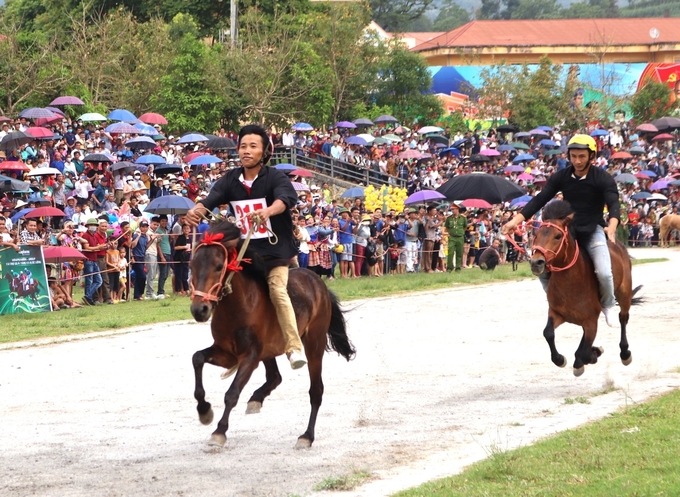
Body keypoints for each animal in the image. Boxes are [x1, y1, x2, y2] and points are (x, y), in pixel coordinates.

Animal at [187, 223, 356, 448]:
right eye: (192, 266)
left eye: (218, 266)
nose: (200, 309)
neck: (238, 306)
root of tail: (316, 281)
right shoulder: (226, 353)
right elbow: (197, 358)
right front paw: (204, 410)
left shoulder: (249, 357)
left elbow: (232, 393)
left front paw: (219, 431)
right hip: (268, 351)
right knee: (275, 377)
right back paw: (256, 399)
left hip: (314, 343)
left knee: (316, 391)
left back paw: (306, 436)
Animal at [532, 202, 644, 376]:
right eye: (536, 234)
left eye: (557, 236)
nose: (536, 262)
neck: (570, 282)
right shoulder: (557, 313)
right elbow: (548, 333)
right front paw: (561, 359)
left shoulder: (591, 320)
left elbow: (584, 353)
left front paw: (592, 354)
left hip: (624, 293)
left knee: (623, 318)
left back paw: (624, 353)